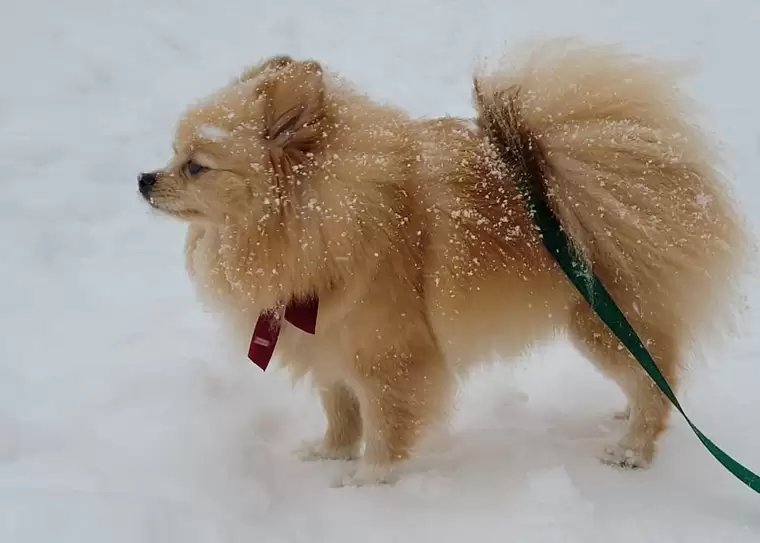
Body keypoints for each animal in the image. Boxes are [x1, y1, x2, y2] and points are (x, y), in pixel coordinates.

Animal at [138, 40, 748, 486]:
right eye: (172, 154)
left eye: (196, 166)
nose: (144, 178)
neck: (319, 228)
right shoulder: (328, 345)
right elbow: (340, 410)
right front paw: (331, 453)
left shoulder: (390, 360)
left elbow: (385, 426)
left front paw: (365, 482)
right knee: (654, 376)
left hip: (601, 324)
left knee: (658, 383)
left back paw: (633, 449)